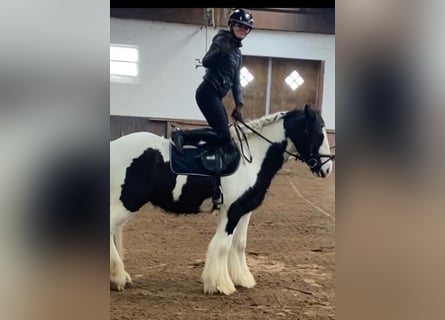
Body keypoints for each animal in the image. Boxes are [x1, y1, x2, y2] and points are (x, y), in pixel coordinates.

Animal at [110, 104, 332, 296]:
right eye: (315, 132)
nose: (327, 168)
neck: (251, 158)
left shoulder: (244, 210)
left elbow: (239, 244)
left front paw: (243, 279)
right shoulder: (231, 211)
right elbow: (223, 245)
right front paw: (220, 285)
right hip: (127, 202)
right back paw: (118, 278)